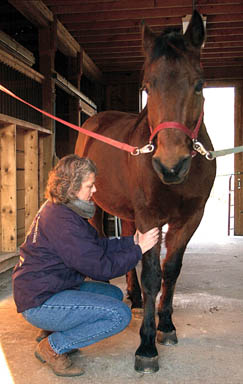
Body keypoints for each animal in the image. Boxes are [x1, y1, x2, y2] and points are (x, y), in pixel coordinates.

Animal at [74, 10, 216, 374]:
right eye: (147, 87)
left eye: (199, 84)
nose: (171, 165)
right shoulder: (150, 216)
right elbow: (152, 274)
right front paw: (147, 346)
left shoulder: (190, 218)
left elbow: (171, 269)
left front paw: (166, 325)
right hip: (97, 207)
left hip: (128, 213)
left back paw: (136, 298)